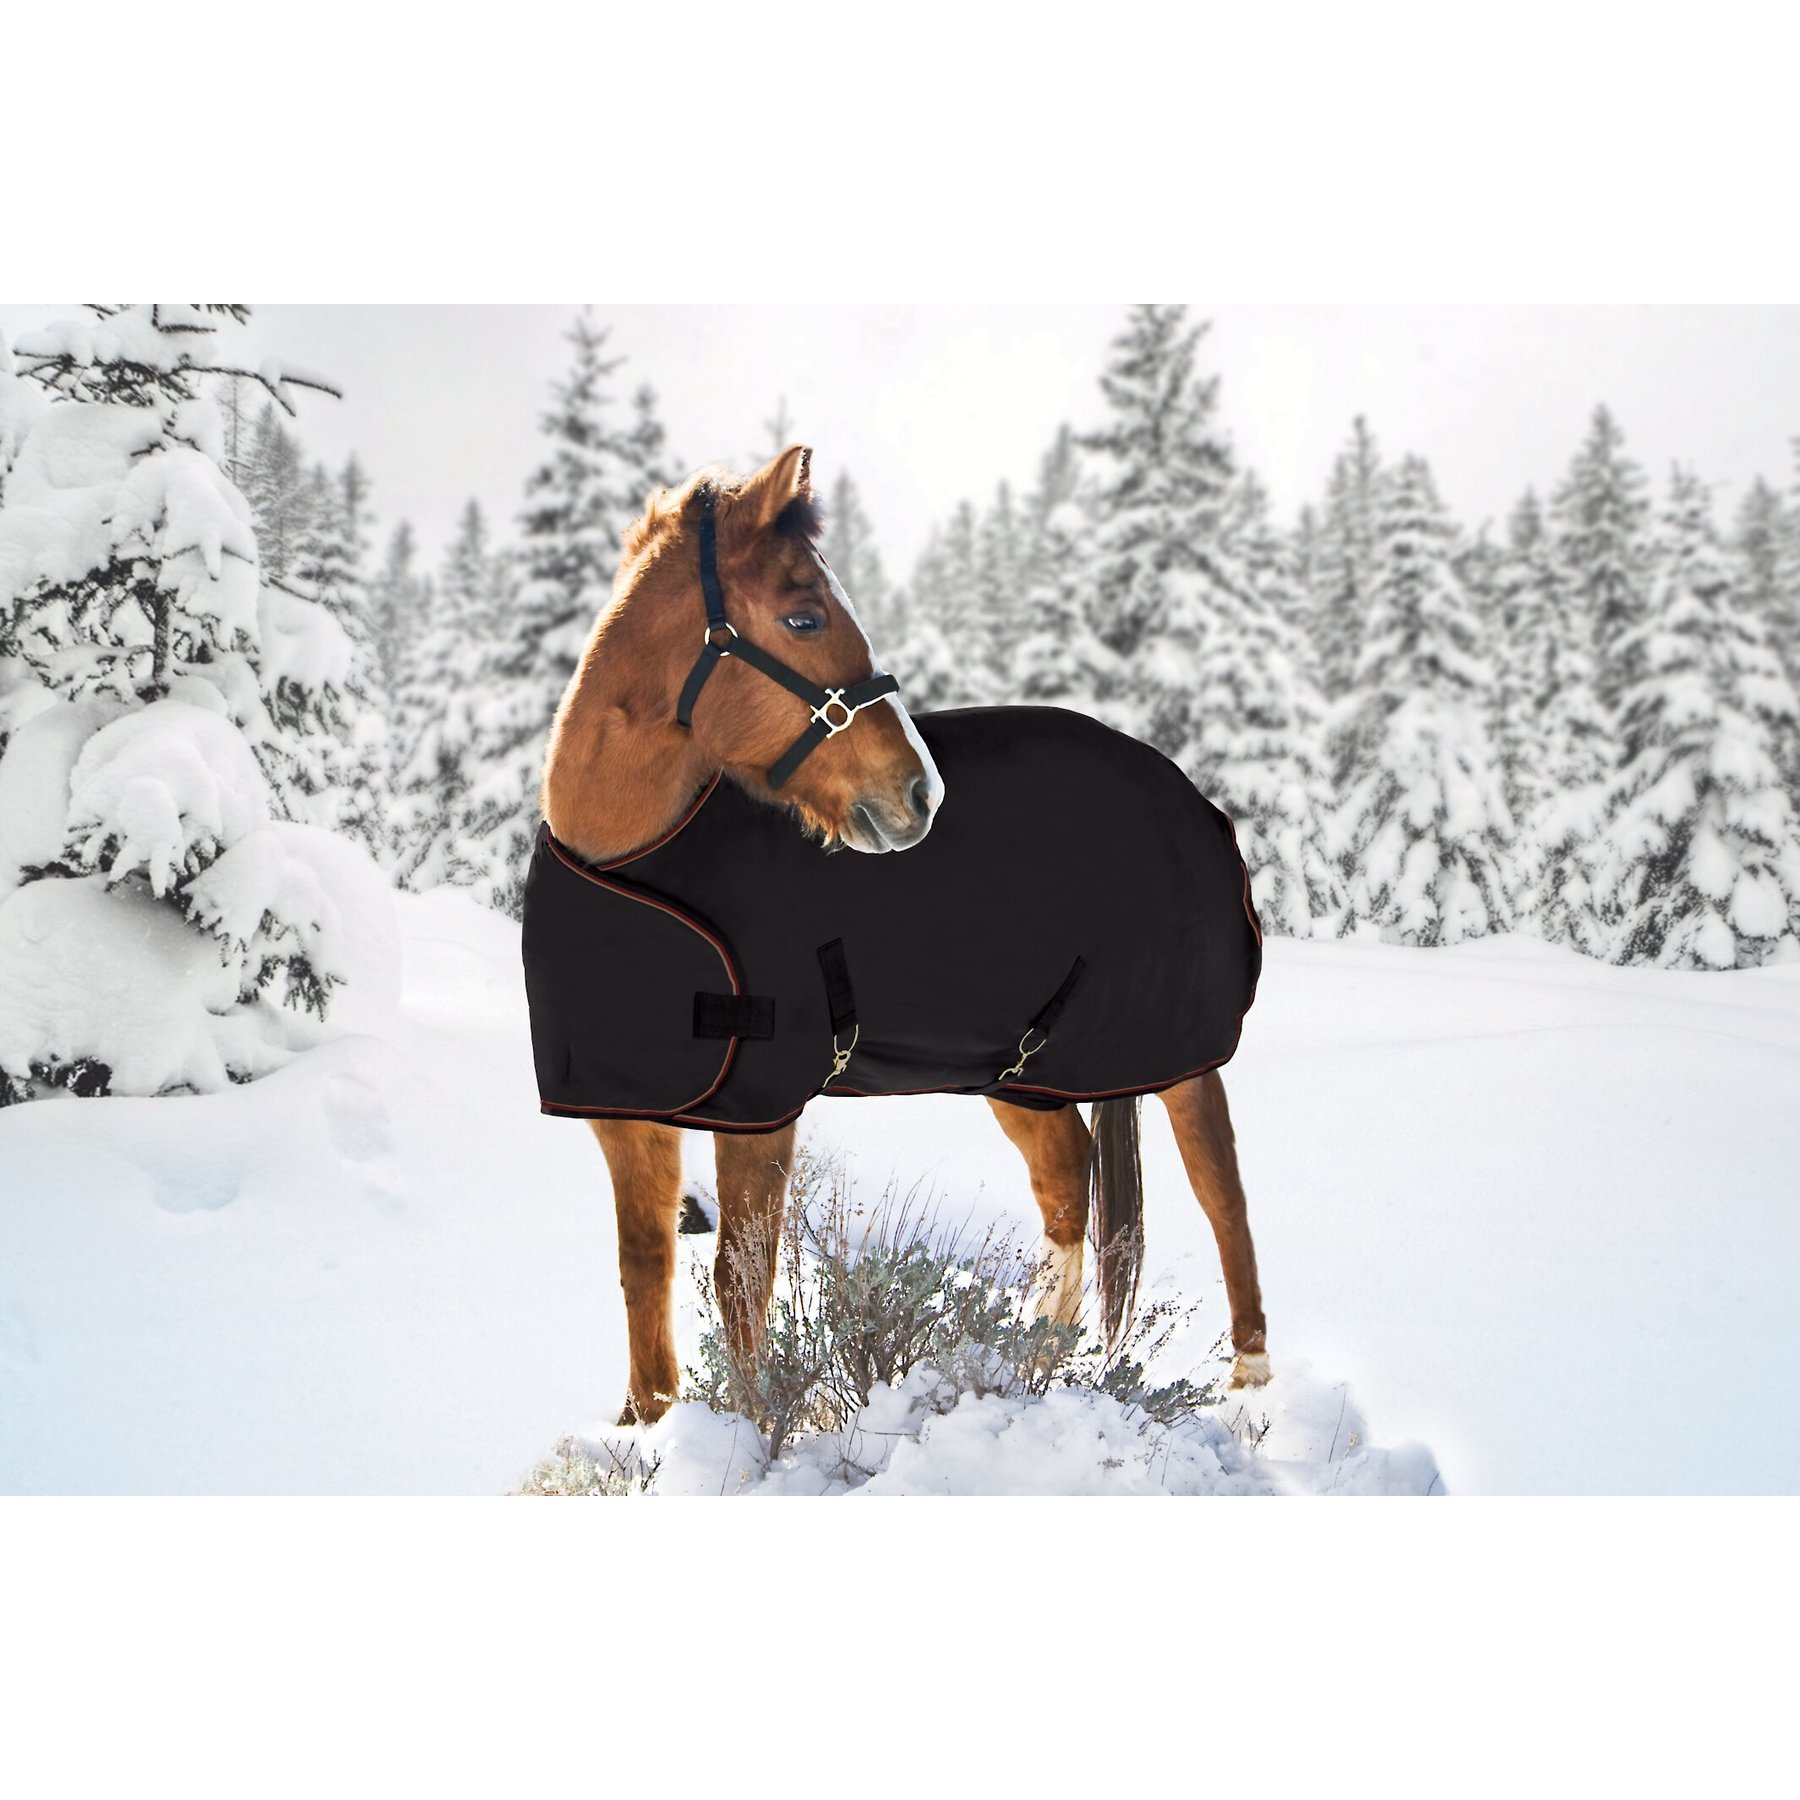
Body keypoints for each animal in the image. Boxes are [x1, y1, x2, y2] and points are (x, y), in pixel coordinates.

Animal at [538, 445, 1268, 1426]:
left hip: (1178, 1048)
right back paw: (1033, 1361)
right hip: (1018, 1068)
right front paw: (649, 1428)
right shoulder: (625, 1113)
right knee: (1067, 1179)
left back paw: (1251, 1391)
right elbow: (644, 1268)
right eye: (804, 616)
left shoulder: (761, 1111)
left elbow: (740, 1281)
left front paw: (749, 1431)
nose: (918, 794)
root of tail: (1189, 794)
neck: (637, 868)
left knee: (1221, 1190)